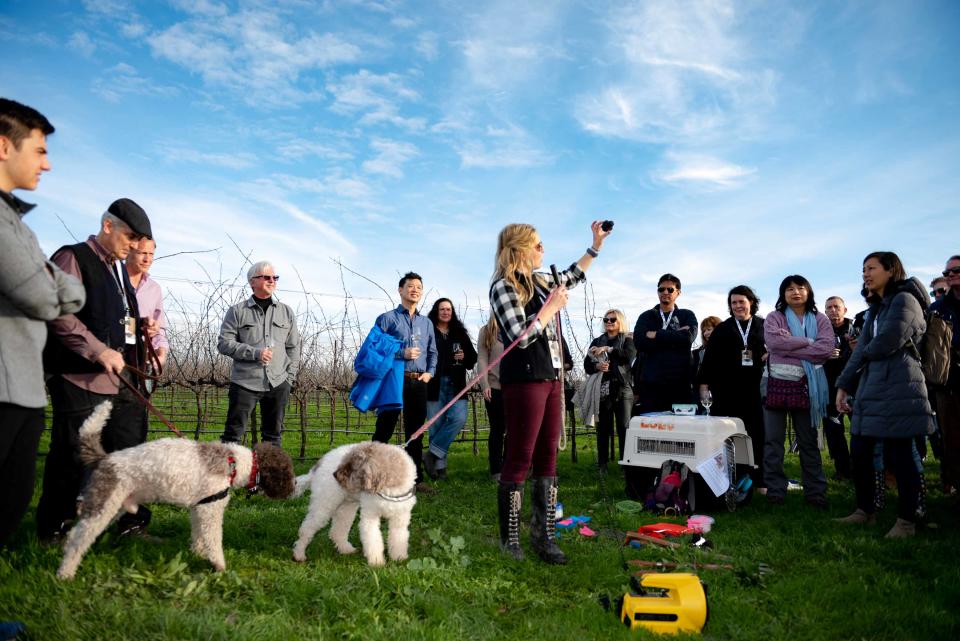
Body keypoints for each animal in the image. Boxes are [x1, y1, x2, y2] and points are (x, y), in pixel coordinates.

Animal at [56, 400, 294, 580]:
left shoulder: (200, 507)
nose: (292, 490)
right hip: (103, 504)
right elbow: (214, 539)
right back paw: (65, 573)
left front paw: (197, 553)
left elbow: (198, 534)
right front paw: (219, 565)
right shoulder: (211, 510)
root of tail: (105, 458)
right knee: (78, 538)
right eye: (287, 472)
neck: (233, 463)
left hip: (114, 506)